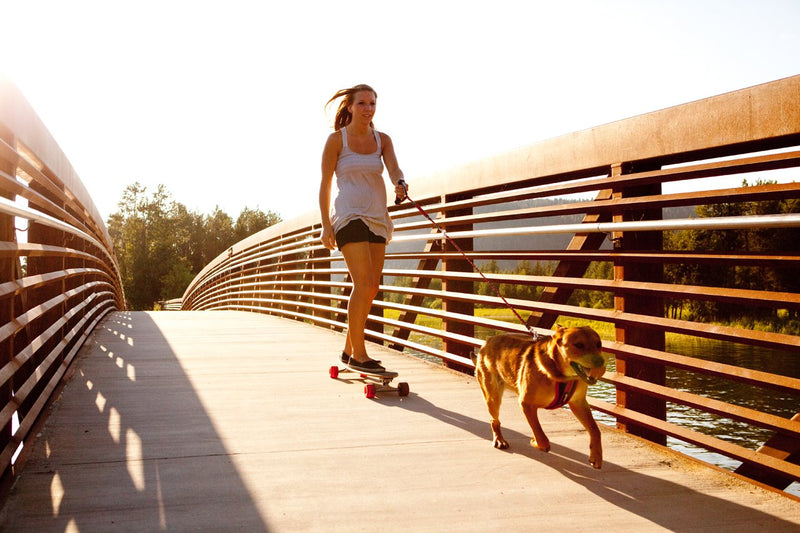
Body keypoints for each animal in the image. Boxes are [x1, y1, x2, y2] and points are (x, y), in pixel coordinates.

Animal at [476, 326, 608, 468]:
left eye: (599, 344)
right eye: (579, 345)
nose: (600, 362)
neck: (561, 375)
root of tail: (487, 341)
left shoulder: (578, 403)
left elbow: (595, 430)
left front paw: (596, 455)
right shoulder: (526, 404)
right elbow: (541, 437)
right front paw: (535, 441)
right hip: (492, 397)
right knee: (494, 420)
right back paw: (499, 439)